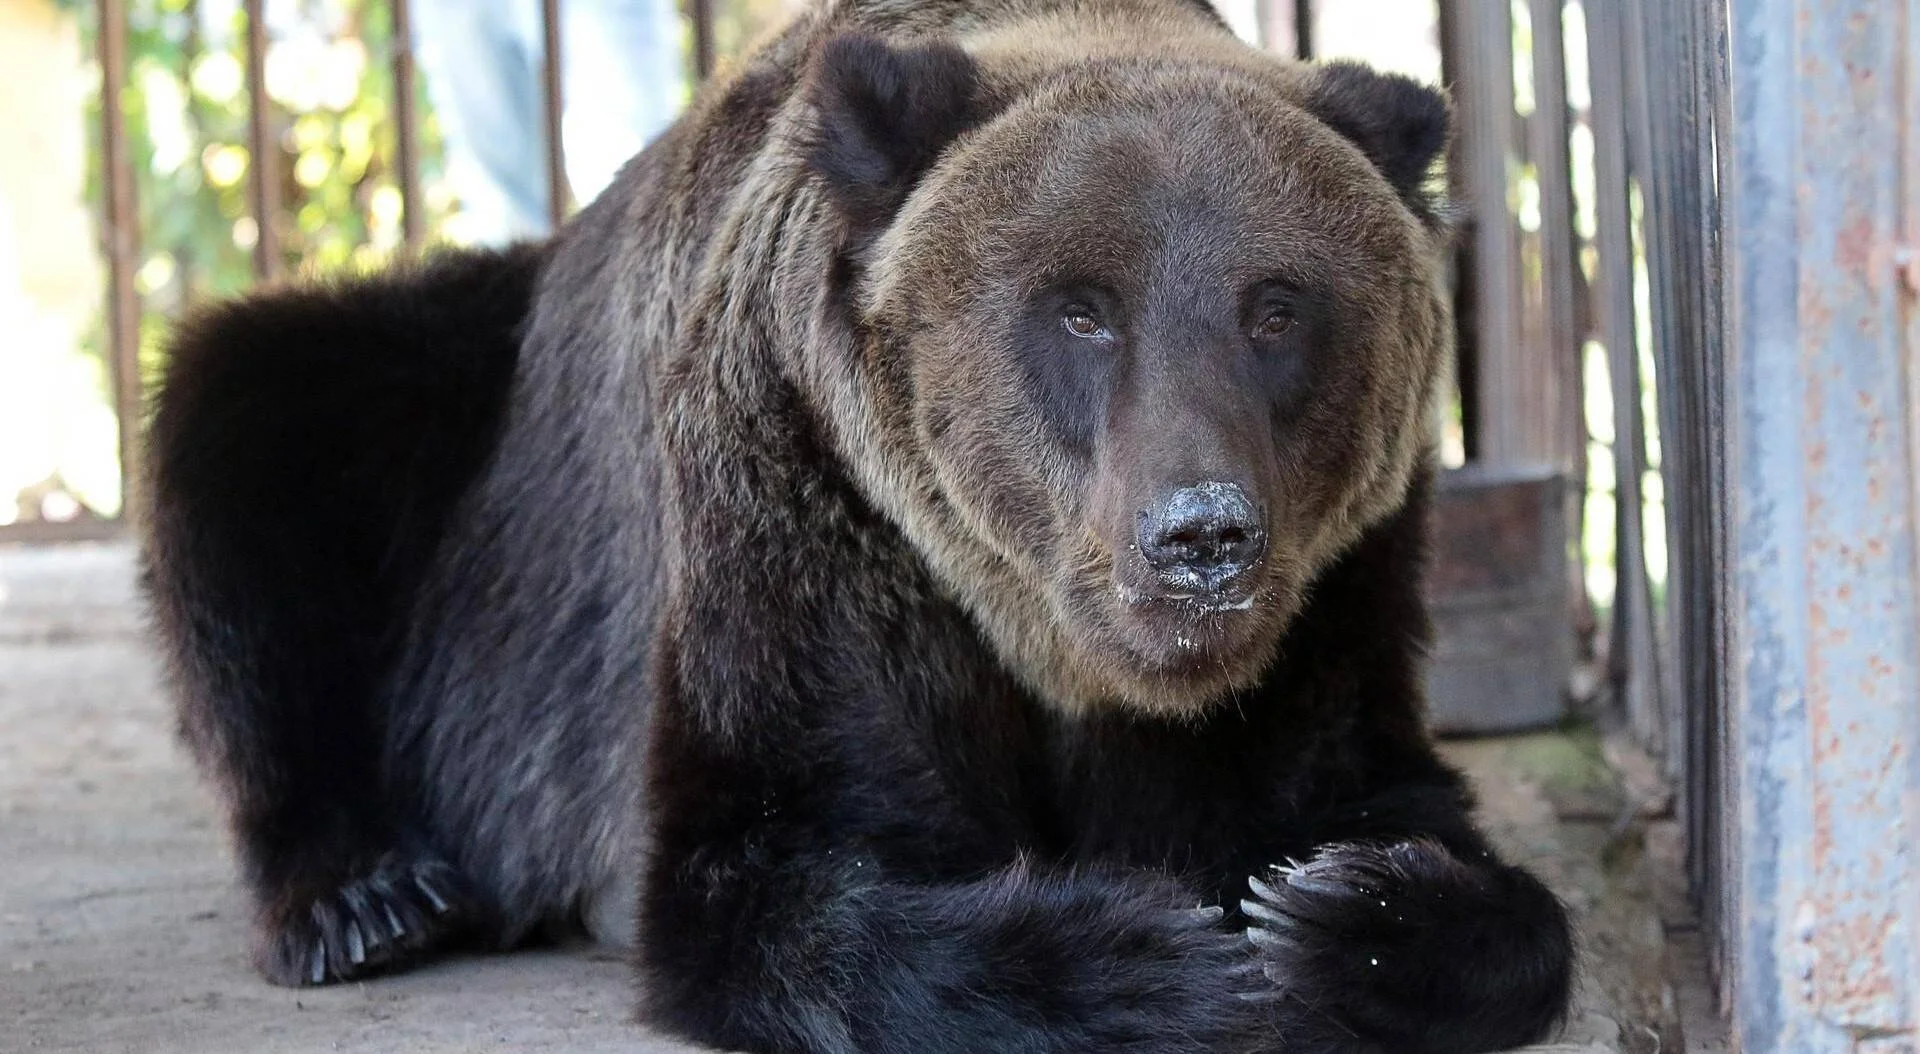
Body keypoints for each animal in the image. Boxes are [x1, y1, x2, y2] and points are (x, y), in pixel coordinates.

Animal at [141, 0, 1576, 1051]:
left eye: (1276, 306)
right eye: (1082, 307)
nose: (1202, 533)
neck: (1050, 649)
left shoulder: (1331, 597)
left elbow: (1392, 813)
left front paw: (1339, 912)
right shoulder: (808, 517)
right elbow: (779, 871)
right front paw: (1149, 949)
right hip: (452, 429)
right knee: (253, 415)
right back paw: (364, 894)